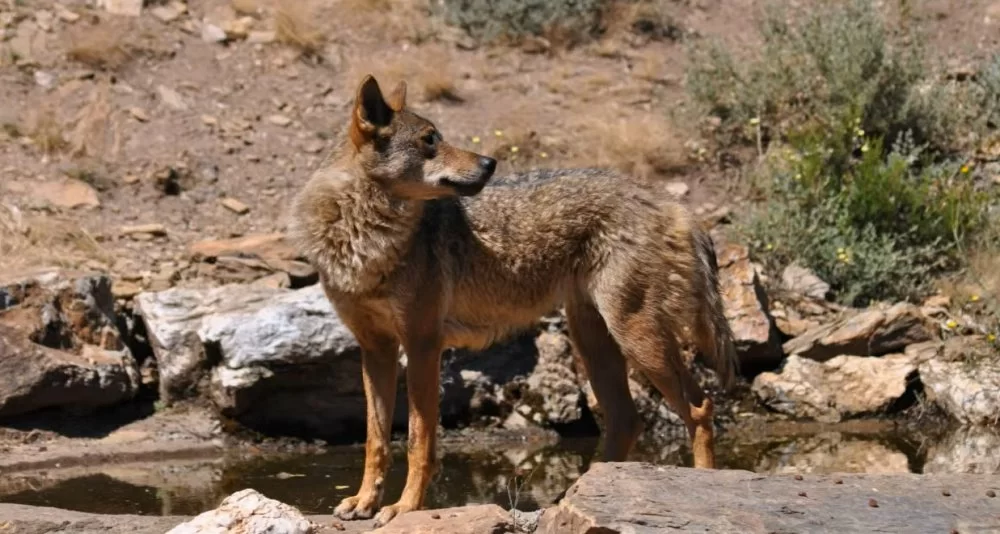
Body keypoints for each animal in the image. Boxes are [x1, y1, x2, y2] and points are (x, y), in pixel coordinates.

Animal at [292, 74, 744, 528]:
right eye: (429, 140)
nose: (490, 163)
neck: (364, 236)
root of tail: (676, 205)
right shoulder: (376, 349)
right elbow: (377, 439)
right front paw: (364, 501)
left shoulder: (422, 346)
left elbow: (419, 440)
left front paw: (405, 507)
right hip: (595, 343)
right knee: (626, 420)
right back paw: (576, 494)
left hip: (636, 338)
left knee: (699, 408)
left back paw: (705, 486)